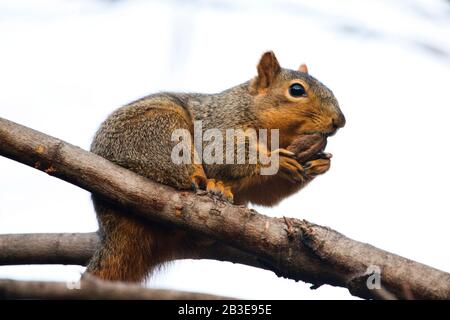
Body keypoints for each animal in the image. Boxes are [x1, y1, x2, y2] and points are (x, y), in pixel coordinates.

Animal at [85, 51, 344, 282]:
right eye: (296, 90)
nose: (340, 121)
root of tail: (108, 221)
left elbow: (265, 195)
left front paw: (320, 162)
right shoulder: (220, 126)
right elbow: (225, 155)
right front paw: (275, 161)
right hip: (159, 133)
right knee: (182, 177)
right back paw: (209, 185)